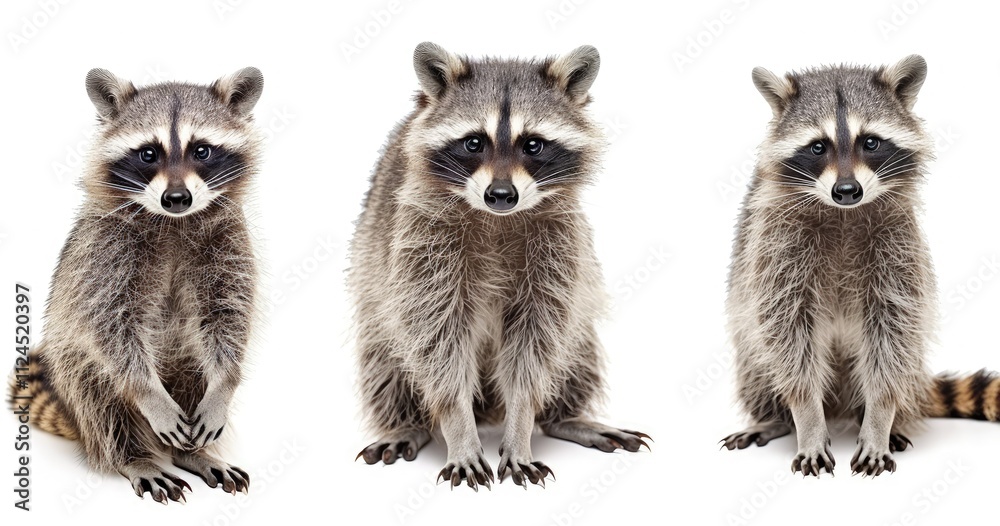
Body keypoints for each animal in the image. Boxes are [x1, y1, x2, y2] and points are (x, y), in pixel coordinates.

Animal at [7, 68, 263, 502]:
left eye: (202, 151)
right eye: (148, 154)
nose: (176, 197)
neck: (175, 221)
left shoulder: (229, 242)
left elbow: (228, 315)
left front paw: (224, 384)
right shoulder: (103, 254)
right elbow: (110, 325)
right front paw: (147, 394)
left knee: (195, 367)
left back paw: (194, 453)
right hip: (72, 369)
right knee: (102, 402)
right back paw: (134, 456)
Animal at [350, 42, 648, 490]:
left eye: (533, 145)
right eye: (474, 143)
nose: (501, 195)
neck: (497, 217)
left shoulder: (558, 245)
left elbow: (538, 339)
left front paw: (521, 420)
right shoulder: (422, 239)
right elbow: (436, 340)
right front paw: (458, 426)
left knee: (577, 348)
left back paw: (566, 416)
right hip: (377, 285)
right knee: (385, 355)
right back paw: (408, 422)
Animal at [722, 55, 1000, 477]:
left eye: (870, 142)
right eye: (818, 147)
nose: (847, 191)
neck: (842, 212)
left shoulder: (898, 246)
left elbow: (893, 333)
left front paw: (880, 418)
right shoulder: (775, 245)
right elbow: (787, 335)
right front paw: (807, 420)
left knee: (902, 363)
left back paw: (881, 419)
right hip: (749, 344)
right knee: (757, 363)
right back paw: (773, 418)